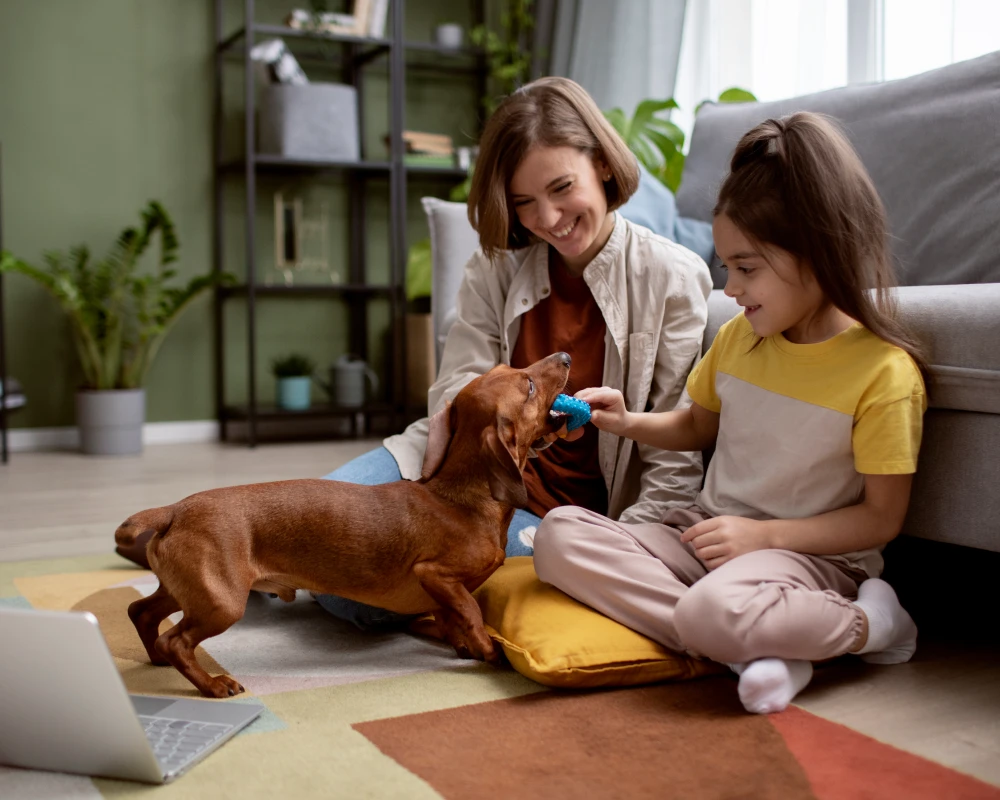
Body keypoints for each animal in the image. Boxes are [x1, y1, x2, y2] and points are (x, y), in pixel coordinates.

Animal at [115, 354, 572, 696]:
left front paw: (460, 642)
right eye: (528, 386)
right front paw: (486, 648)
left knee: (142, 613)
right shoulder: (436, 574)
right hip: (222, 602)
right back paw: (211, 684)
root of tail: (174, 509)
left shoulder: (441, 594)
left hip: (188, 591)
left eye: (508, 365)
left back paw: (157, 659)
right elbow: (472, 612)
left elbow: (451, 619)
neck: (460, 498)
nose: (566, 357)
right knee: (176, 640)